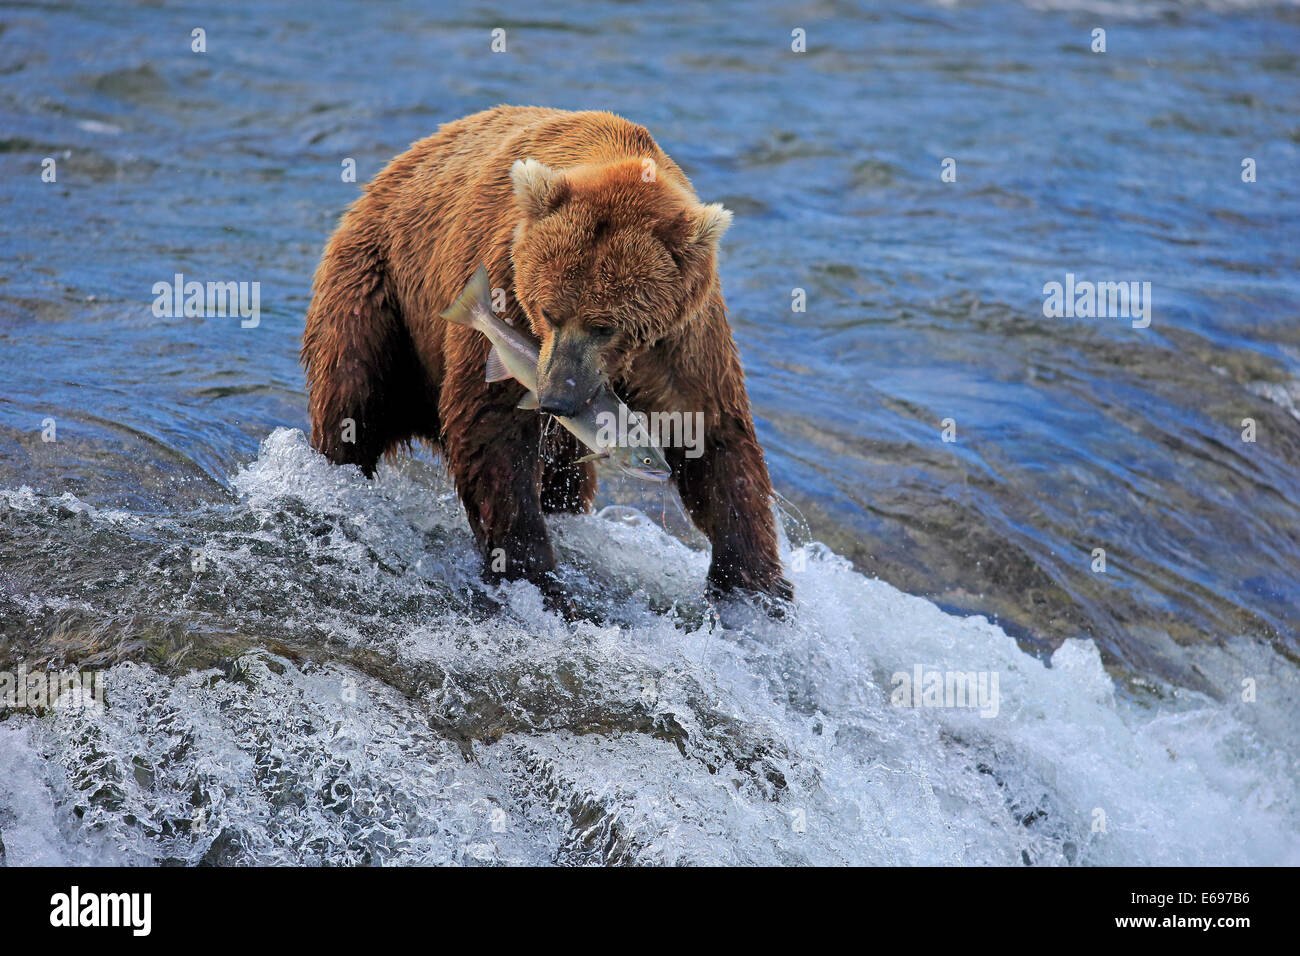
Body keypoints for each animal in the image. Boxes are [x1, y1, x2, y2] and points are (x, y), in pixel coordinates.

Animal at [301, 104, 790, 606]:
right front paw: (530, 567)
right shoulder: (506, 278)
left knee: (565, 480)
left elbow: (711, 433)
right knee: (353, 392)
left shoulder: (681, 340)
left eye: (606, 325)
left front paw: (757, 584)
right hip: (379, 286)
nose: (555, 398)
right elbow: (492, 424)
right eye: (548, 311)